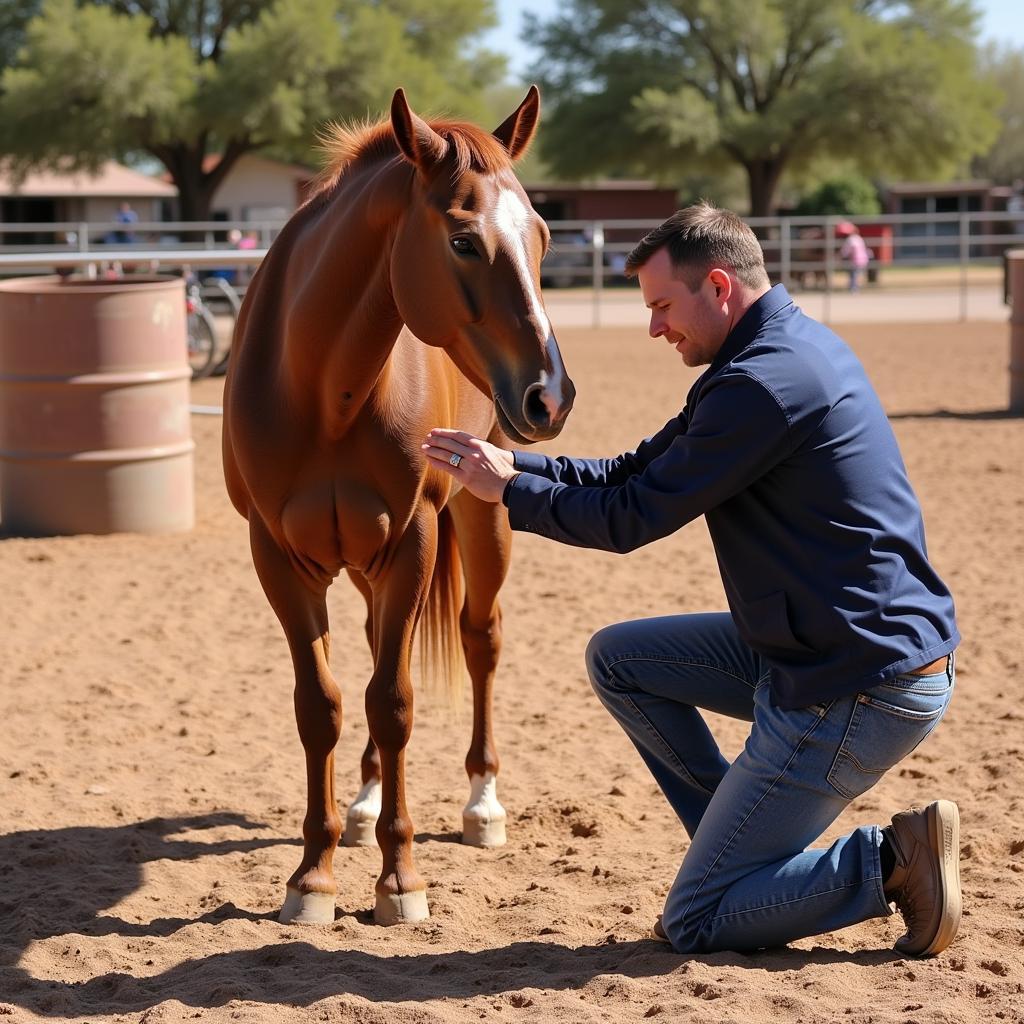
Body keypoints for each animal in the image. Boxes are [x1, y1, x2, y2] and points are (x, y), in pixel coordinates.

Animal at [222, 83, 577, 925]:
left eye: (543, 234)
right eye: (464, 241)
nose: (550, 396)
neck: (323, 389)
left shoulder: (411, 540)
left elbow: (394, 701)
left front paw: (401, 879)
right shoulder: (277, 555)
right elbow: (319, 704)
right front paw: (312, 876)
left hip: (482, 519)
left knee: (481, 638)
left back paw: (481, 804)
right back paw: (363, 801)